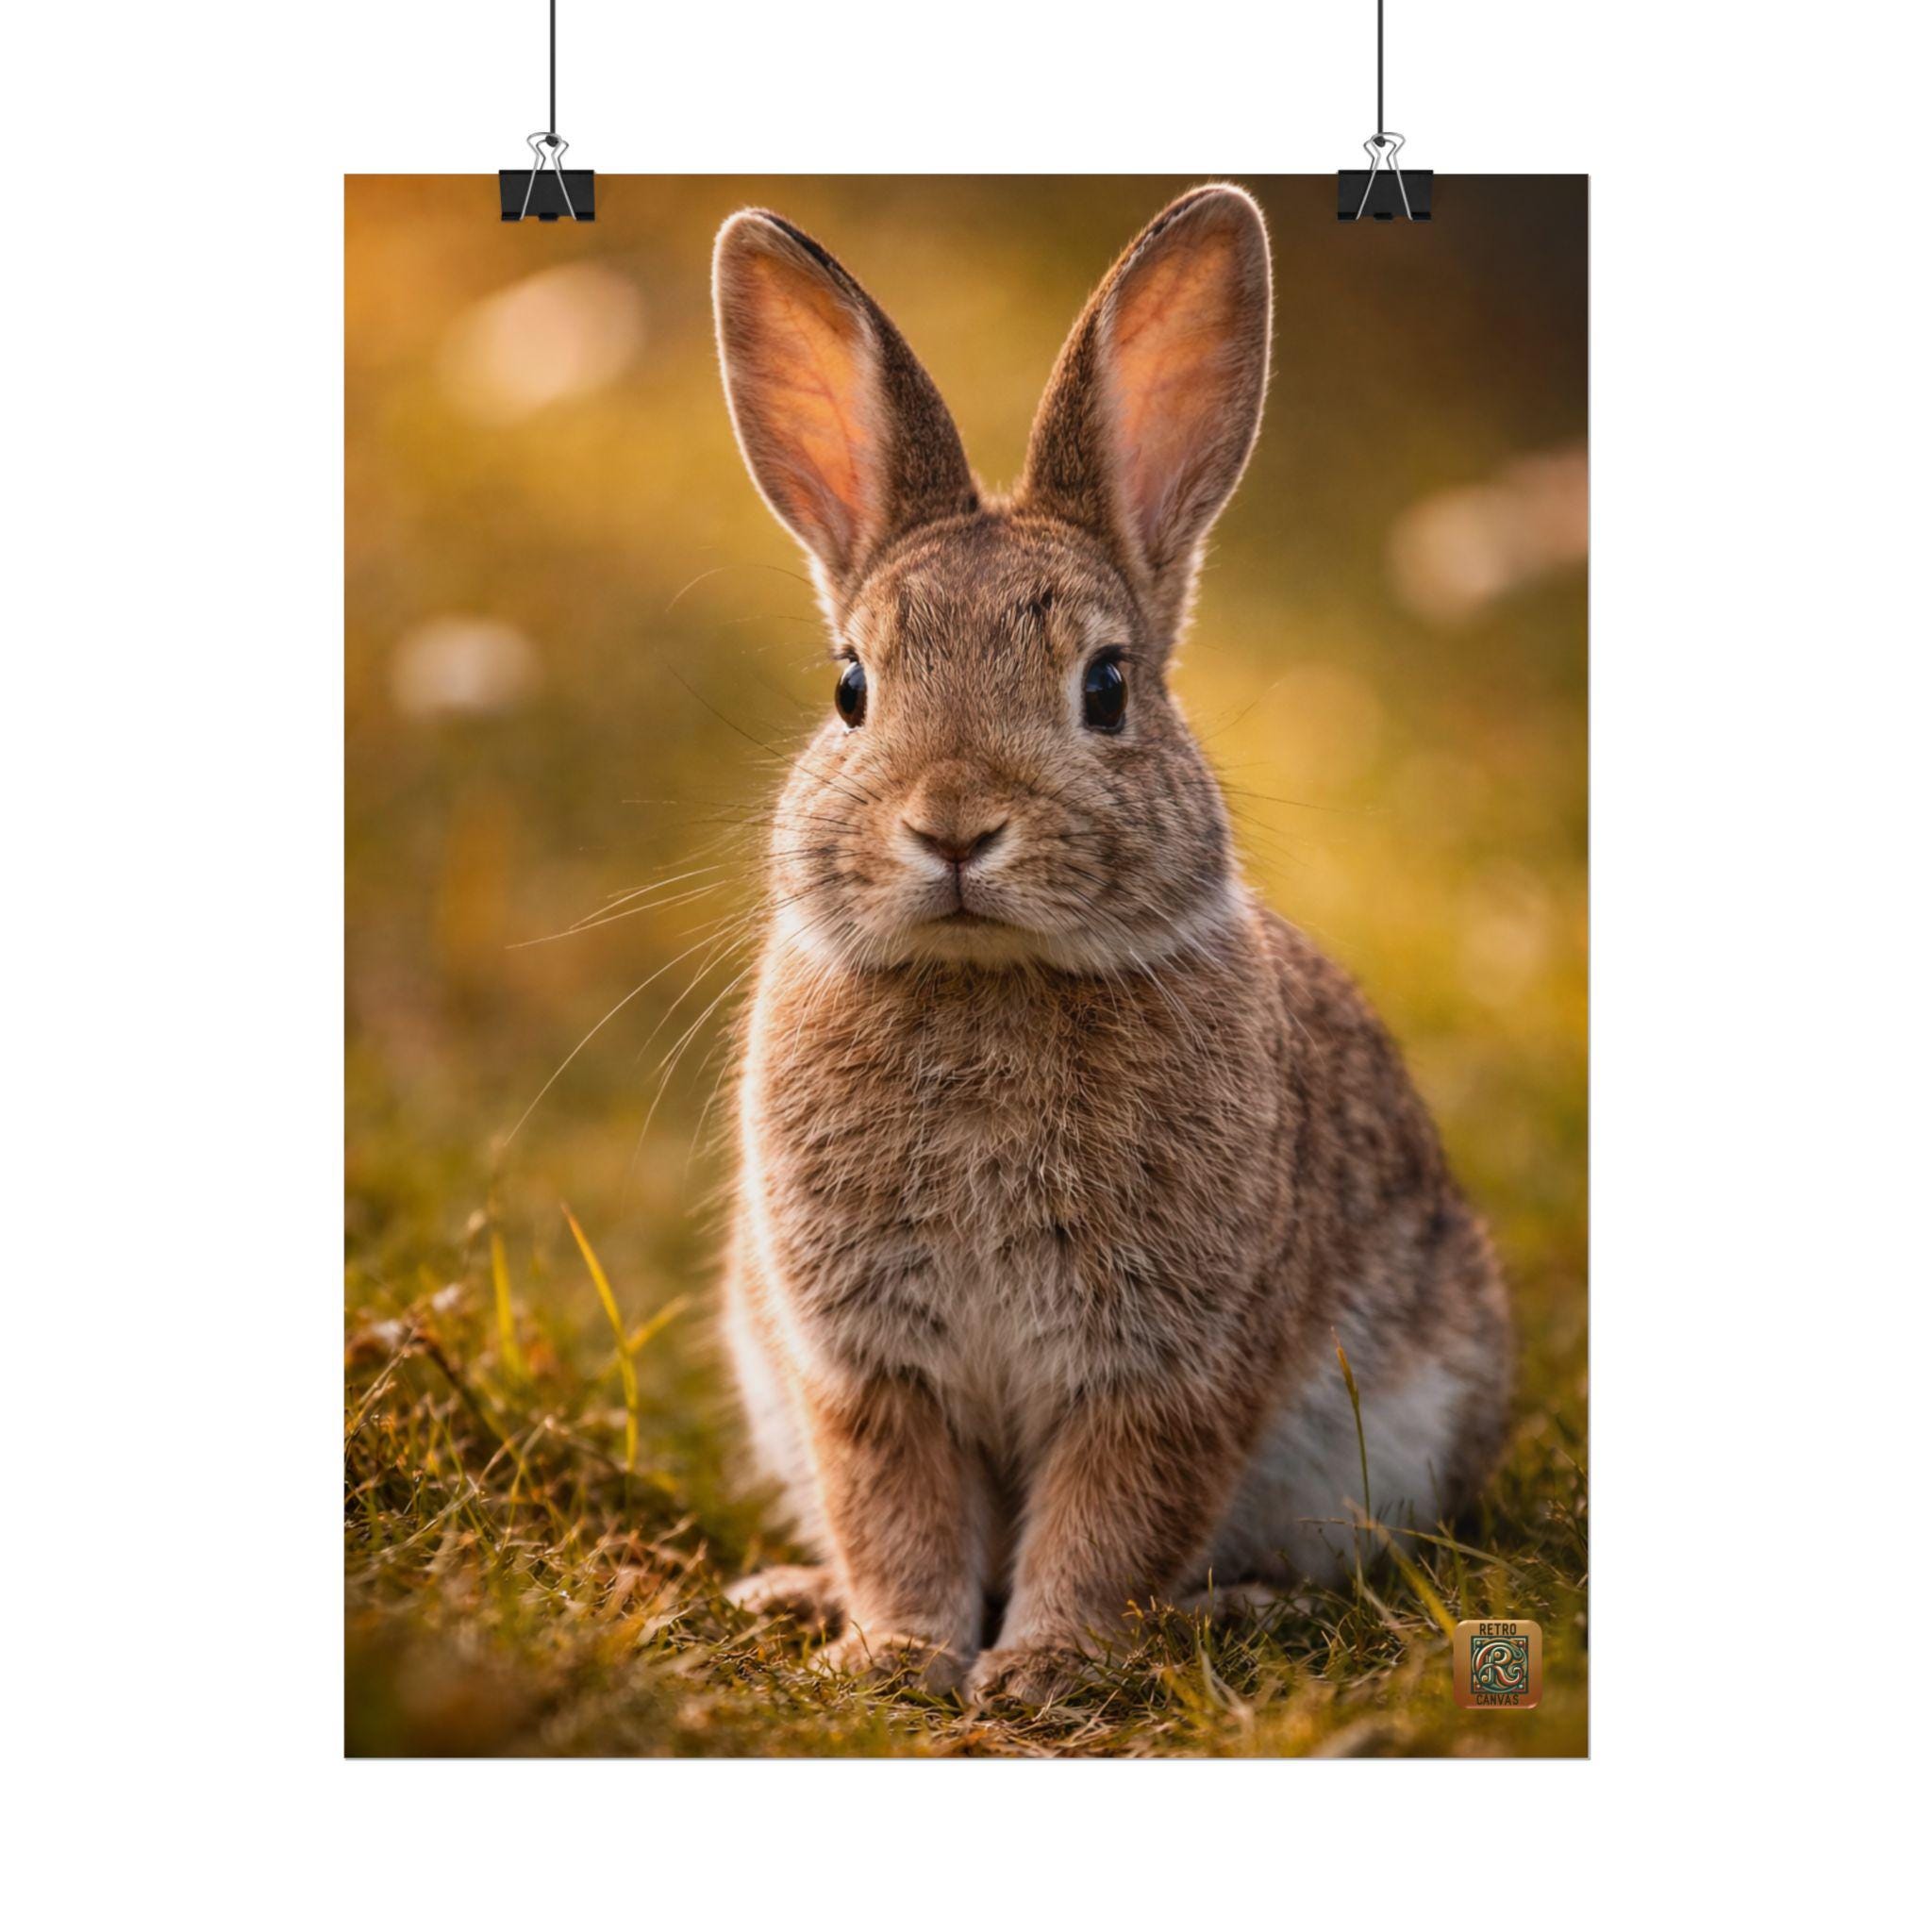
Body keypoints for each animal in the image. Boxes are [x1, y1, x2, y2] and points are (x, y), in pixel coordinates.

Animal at [709, 184, 1512, 1706]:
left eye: (1106, 686)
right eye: (850, 688)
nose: (952, 826)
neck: (985, 985)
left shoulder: (1164, 1370)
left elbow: (1112, 1515)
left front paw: (1043, 1667)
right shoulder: (864, 1370)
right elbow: (894, 1515)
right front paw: (897, 1656)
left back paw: (1232, 1611)